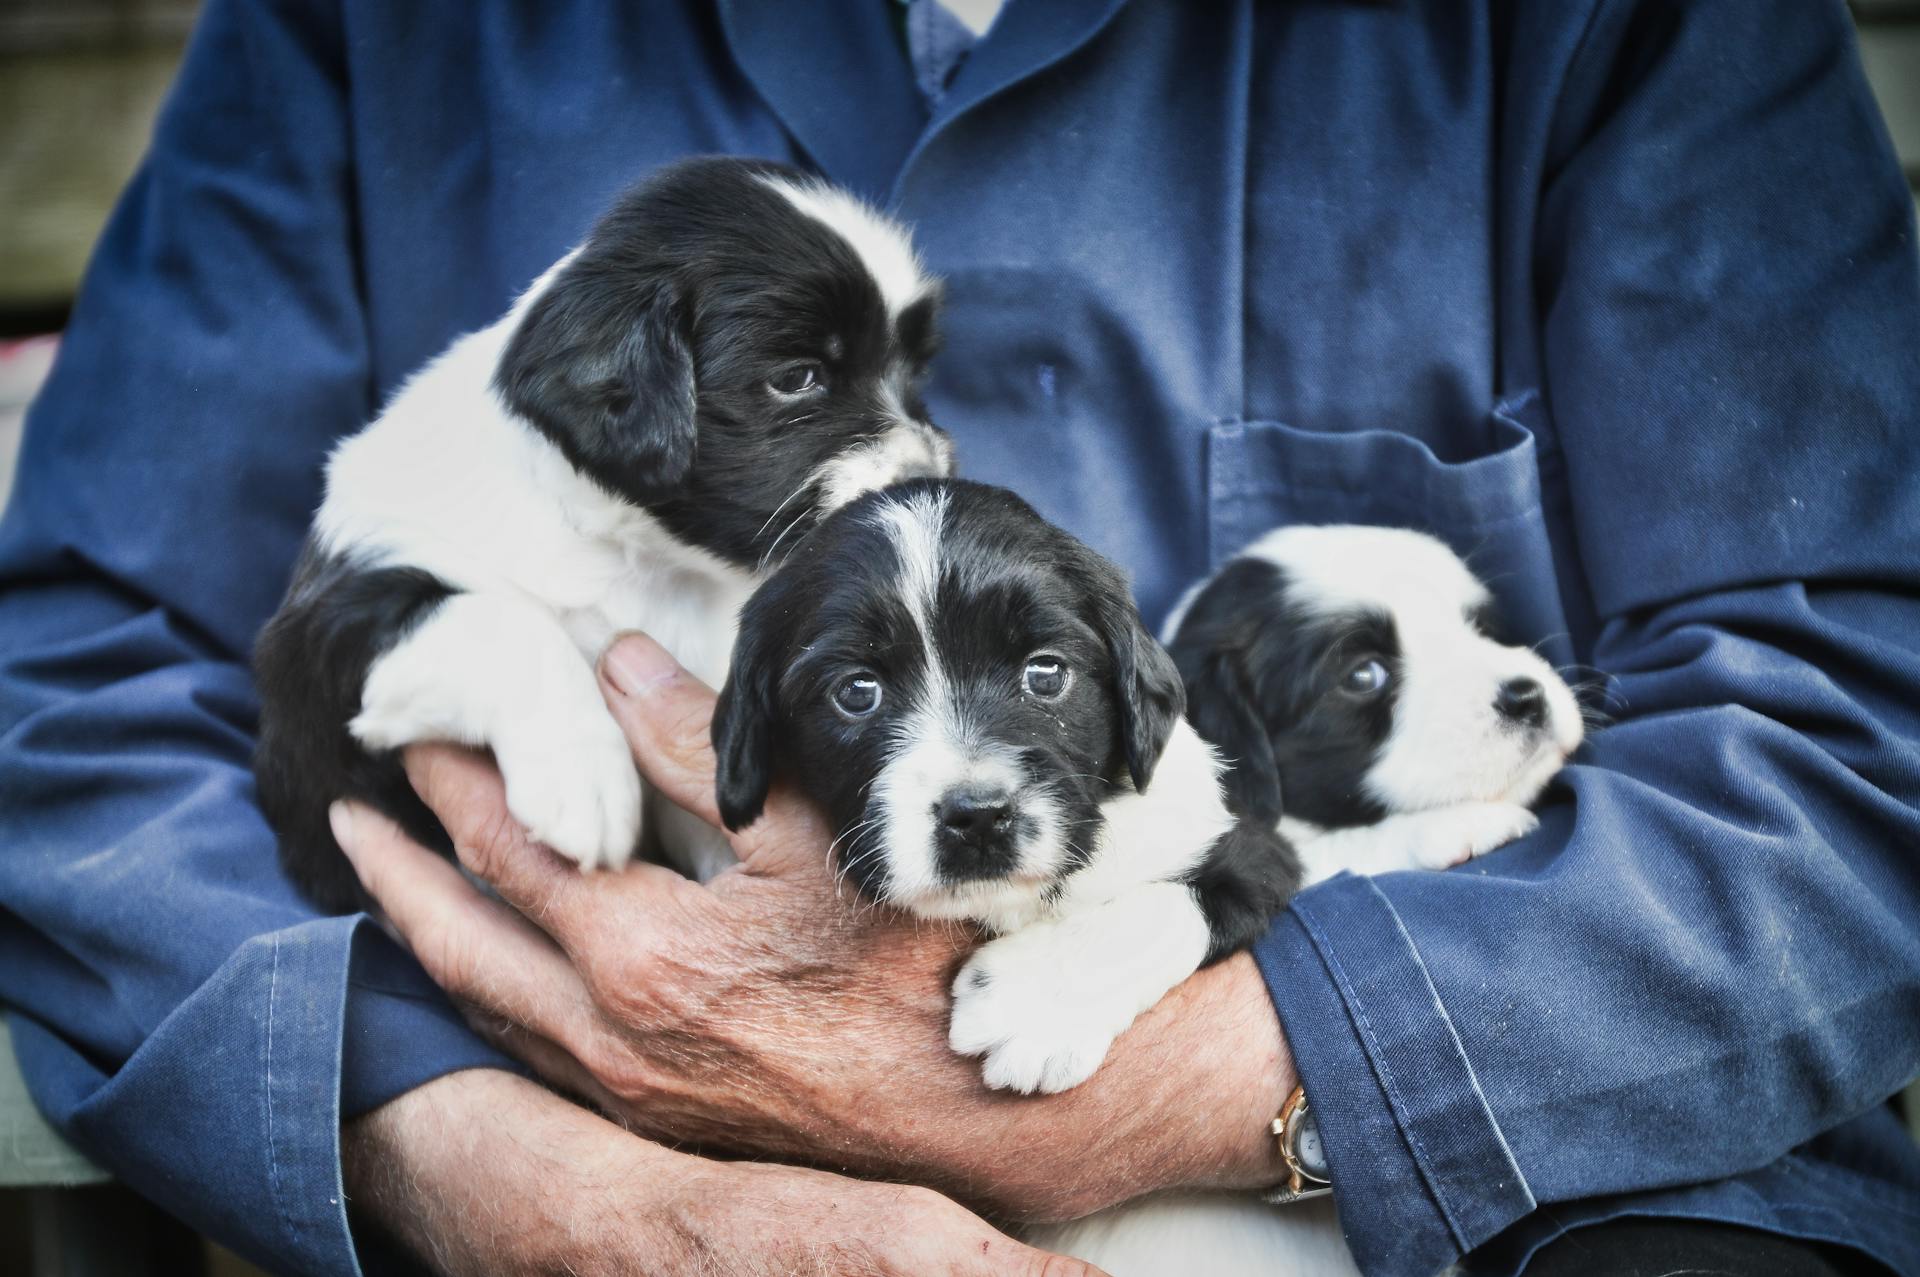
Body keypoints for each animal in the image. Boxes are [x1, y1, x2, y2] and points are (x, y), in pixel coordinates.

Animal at [251, 159, 956, 910]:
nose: (926, 479)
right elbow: (505, 620)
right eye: (798, 378)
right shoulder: (317, 670)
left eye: (914, 372)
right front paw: (581, 773)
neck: (638, 557)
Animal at [710, 478, 1305, 1098]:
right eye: (856, 691)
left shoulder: (1253, 848)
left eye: (1046, 673)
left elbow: (1167, 905)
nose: (977, 817)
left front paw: (1033, 1005)